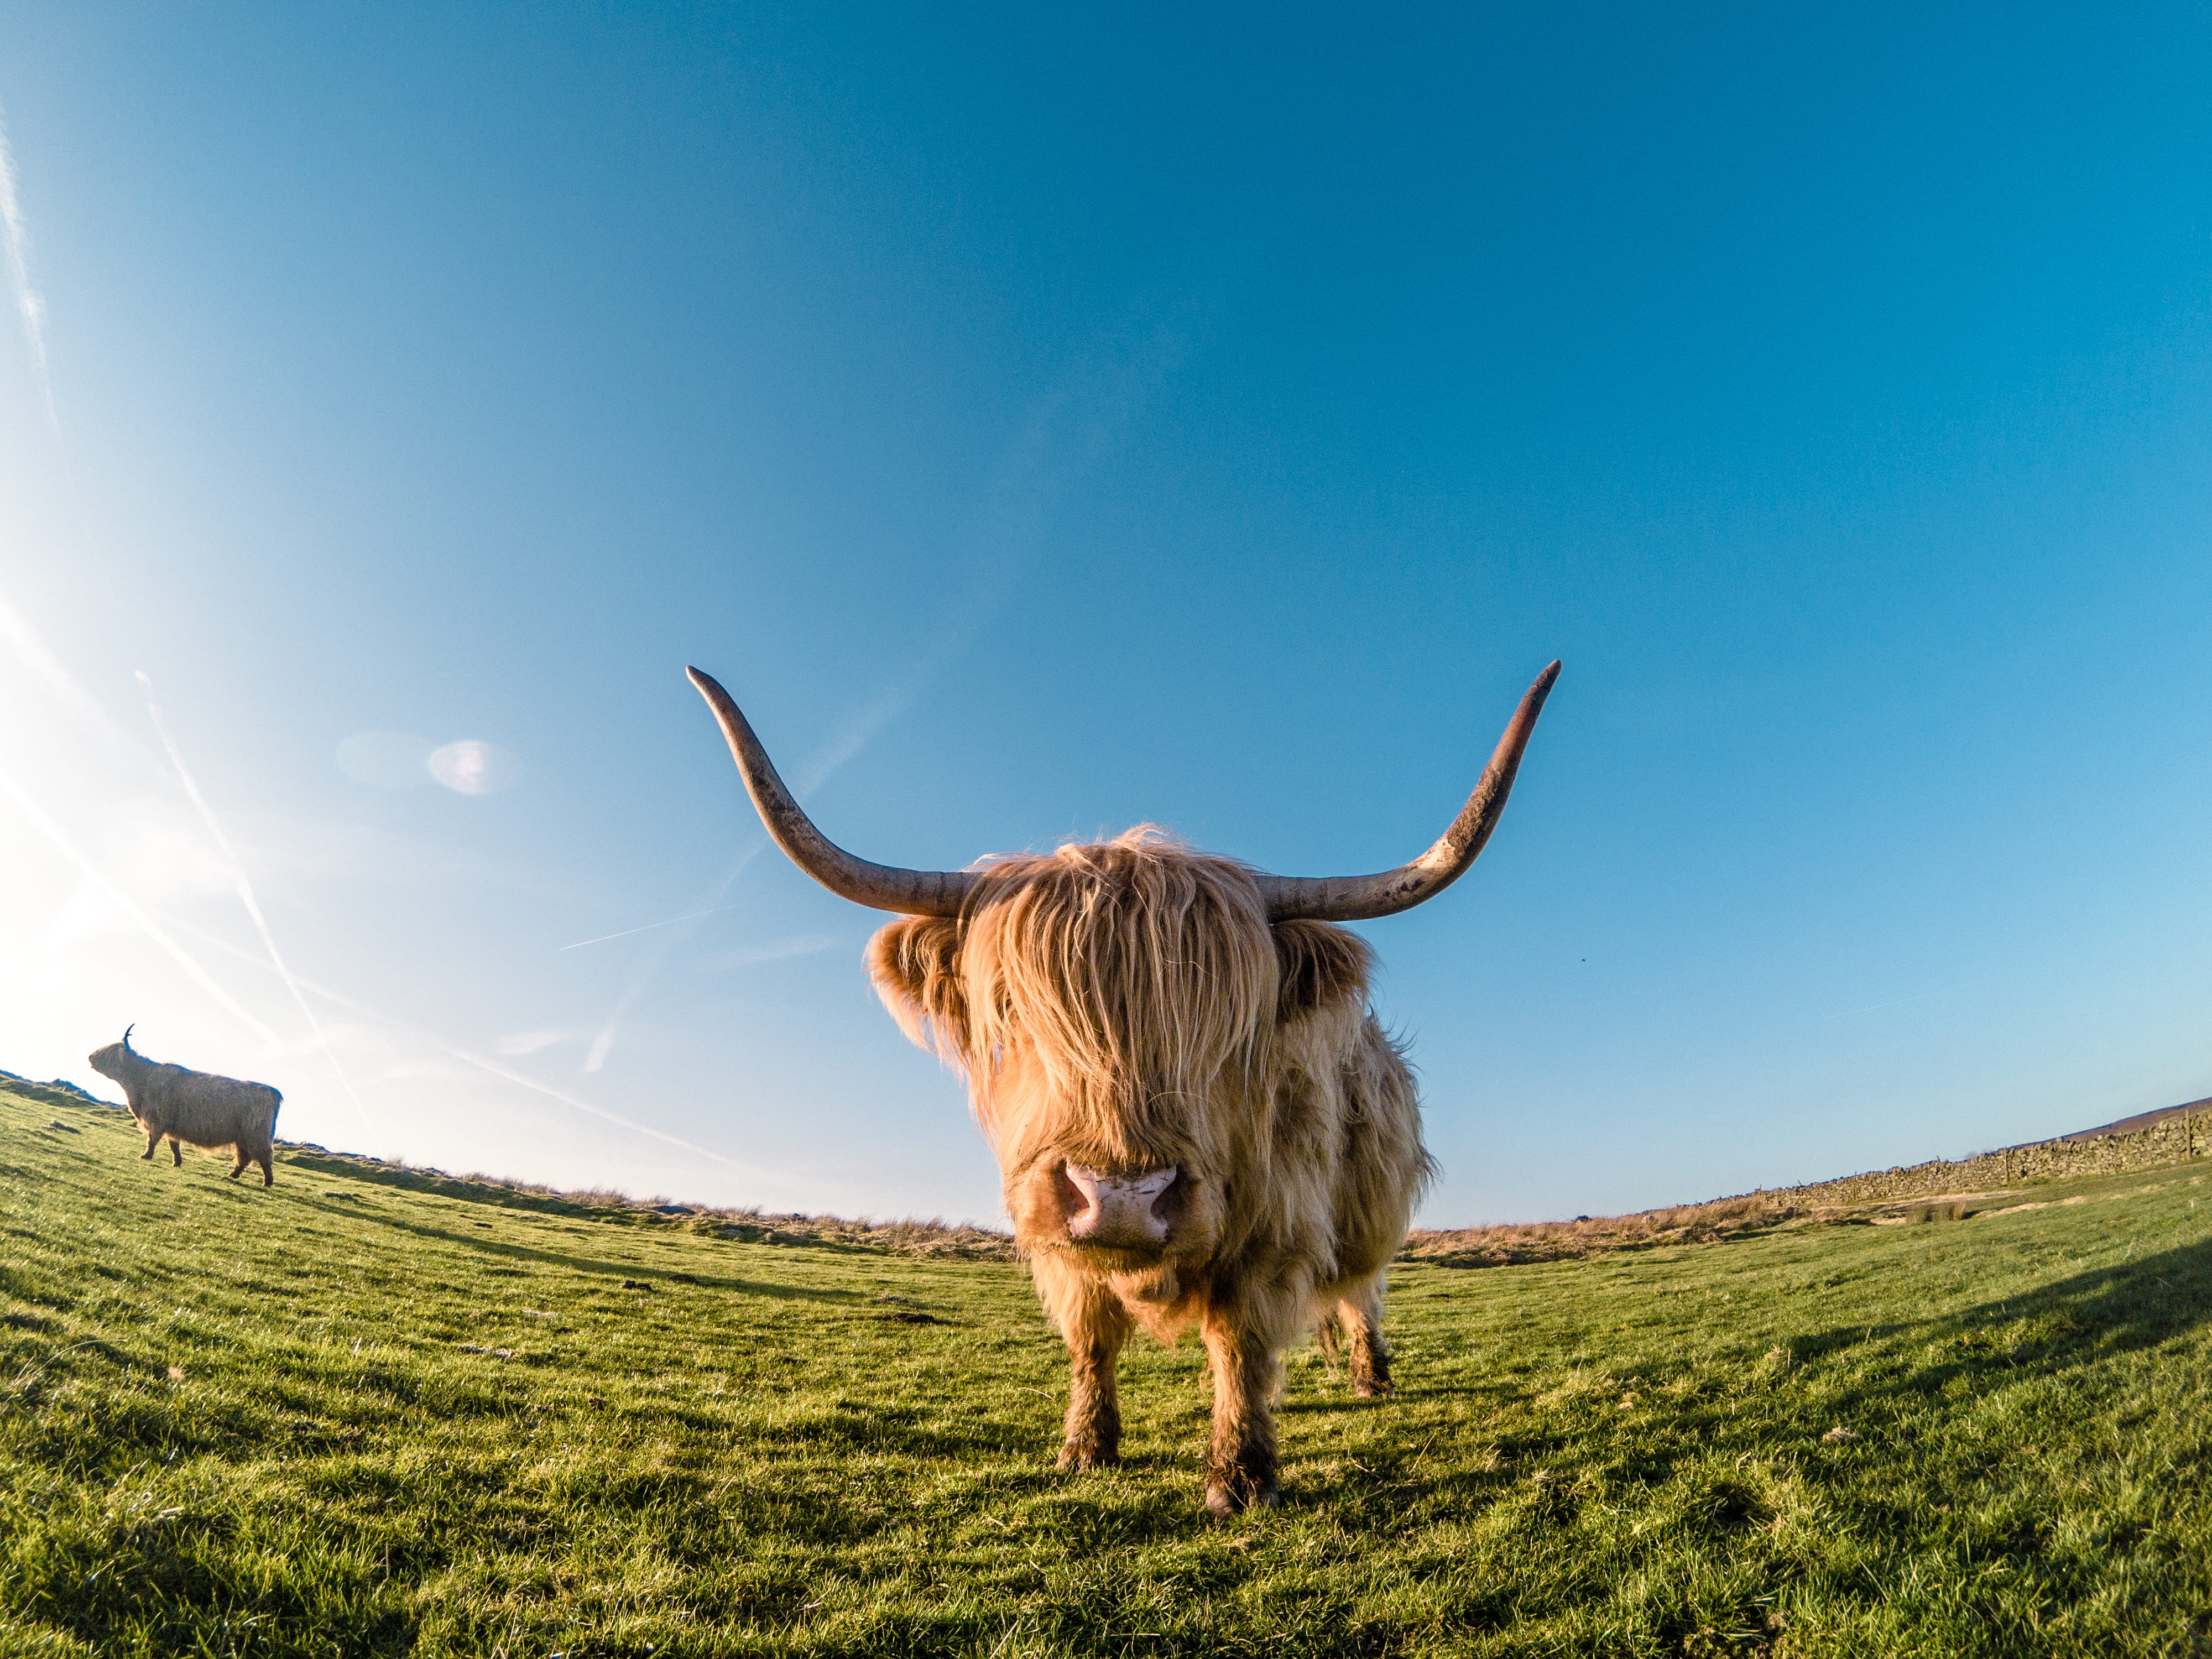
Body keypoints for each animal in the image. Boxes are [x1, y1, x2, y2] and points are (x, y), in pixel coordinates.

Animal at [688, 660, 1558, 1514]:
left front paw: (1240, 1477)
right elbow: (1091, 1340)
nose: (1120, 1199)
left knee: (1361, 1293)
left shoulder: (1273, 1230)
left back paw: (1370, 1377)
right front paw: (1086, 1448)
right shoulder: (1057, 1241)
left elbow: (1241, 1343)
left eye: (1227, 1020)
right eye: (1015, 1006)